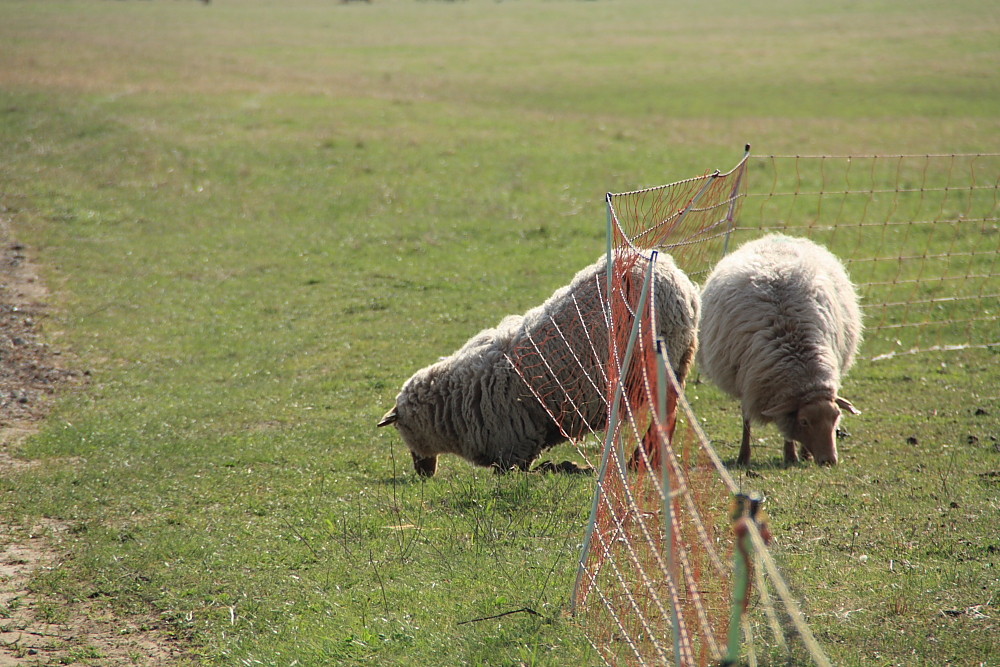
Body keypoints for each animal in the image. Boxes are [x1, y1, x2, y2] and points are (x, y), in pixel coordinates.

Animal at [378, 249, 700, 474]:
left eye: (402, 430)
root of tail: (674, 274)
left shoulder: (514, 442)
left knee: (665, 413)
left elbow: (517, 471)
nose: (422, 472)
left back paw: (639, 460)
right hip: (678, 359)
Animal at [696, 232, 860, 468]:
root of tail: (775, 236)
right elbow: (747, 419)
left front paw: (795, 455)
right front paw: (746, 456)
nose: (829, 461)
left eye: (836, 417)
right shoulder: (749, 382)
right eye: (804, 421)